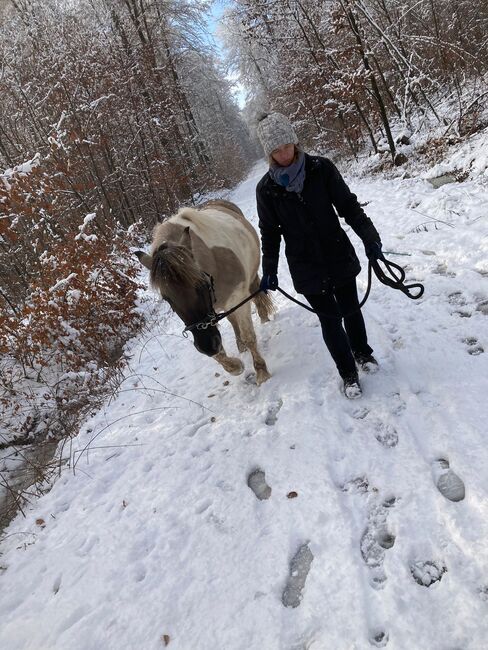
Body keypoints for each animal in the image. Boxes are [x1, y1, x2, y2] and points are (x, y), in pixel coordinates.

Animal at [135, 197, 274, 384]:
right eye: (167, 298)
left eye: (202, 284)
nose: (207, 345)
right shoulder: (209, 319)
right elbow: (219, 354)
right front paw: (235, 366)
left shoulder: (237, 298)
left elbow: (249, 336)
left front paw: (261, 372)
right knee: (231, 320)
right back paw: (240, 346)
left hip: (250, 281)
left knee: (257, 299)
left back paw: (264, 320)